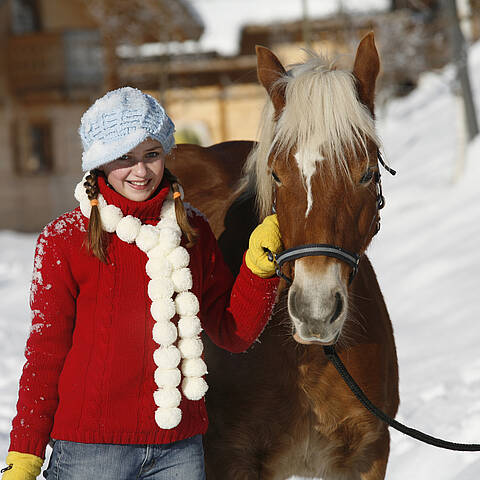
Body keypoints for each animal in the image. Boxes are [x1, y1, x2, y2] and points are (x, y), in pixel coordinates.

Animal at [171, 32, 400, 480]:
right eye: (276, 174)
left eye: (367, 172)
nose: (315, 311)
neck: (307, 356)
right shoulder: (231, 460)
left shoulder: (366, 456)